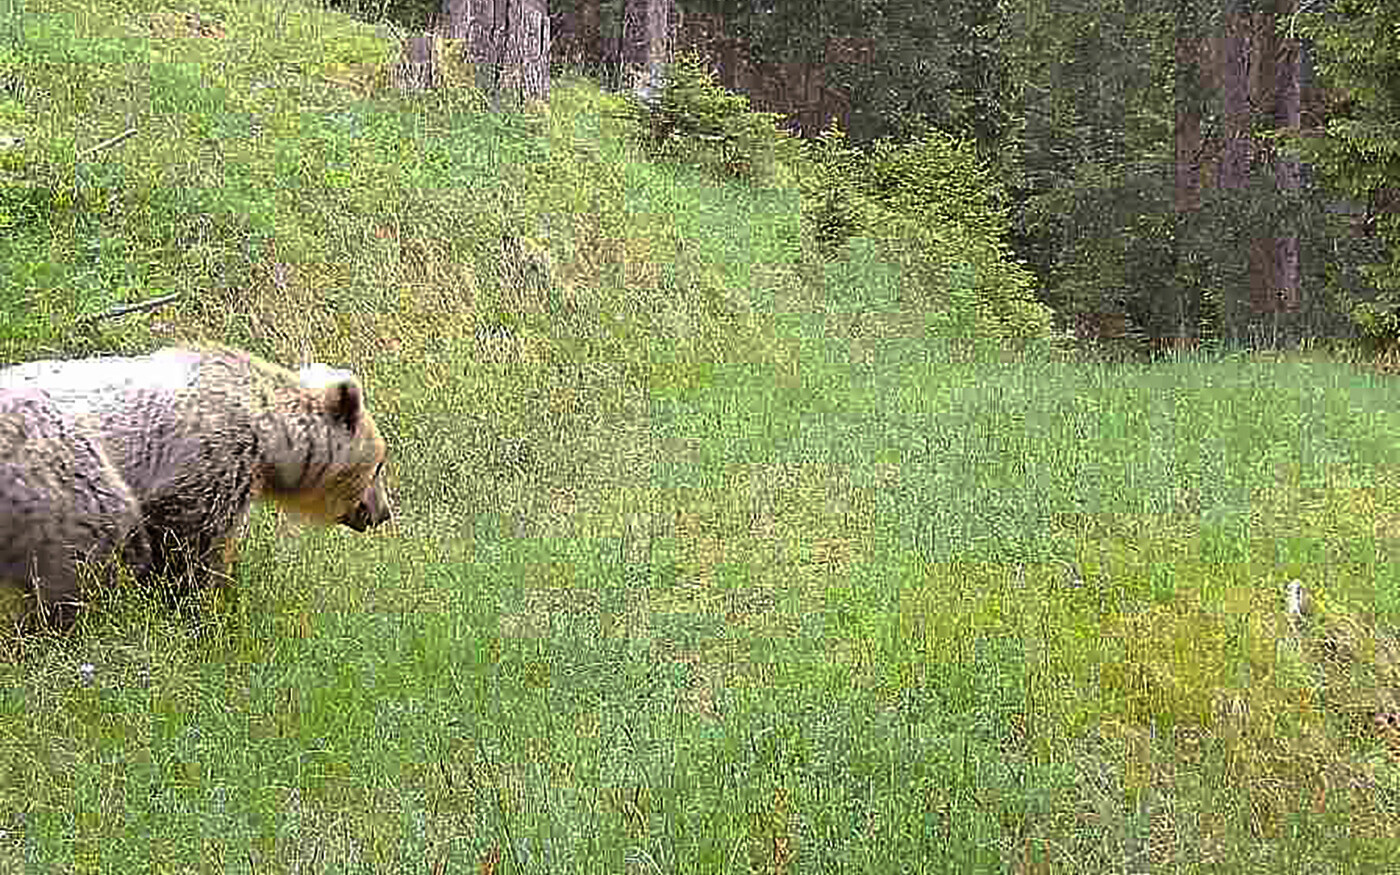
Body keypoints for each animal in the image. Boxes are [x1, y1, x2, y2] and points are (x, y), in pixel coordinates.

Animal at [0, 346, 392, 628]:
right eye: (379, 465)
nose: (383, 512)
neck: (270, 439)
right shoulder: (211, 461)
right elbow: (191, 549)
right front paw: (202, 606)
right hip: (56, 473)